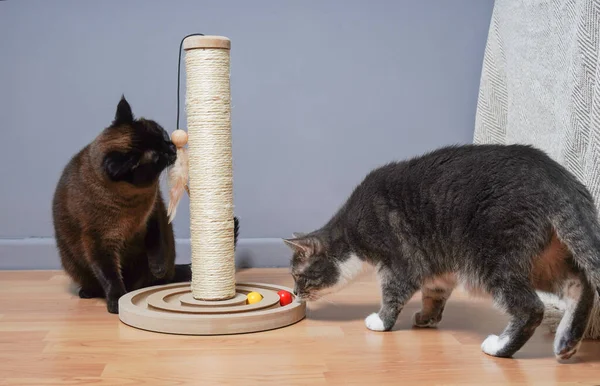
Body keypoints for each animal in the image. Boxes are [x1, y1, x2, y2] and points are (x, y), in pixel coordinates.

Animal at [284, 143, 600, 360]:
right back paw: (567, 343)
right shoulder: (438, 267)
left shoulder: (399, 263)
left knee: (532, 307)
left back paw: (499, 347)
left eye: (299, 276)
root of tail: (557, 178)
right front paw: (426, 318)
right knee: (580, 284)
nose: (296, 293)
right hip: (541, 261)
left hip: (495, 258)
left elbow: (393, 294)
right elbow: (434, 293)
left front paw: (381, 322)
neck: (351, 235)